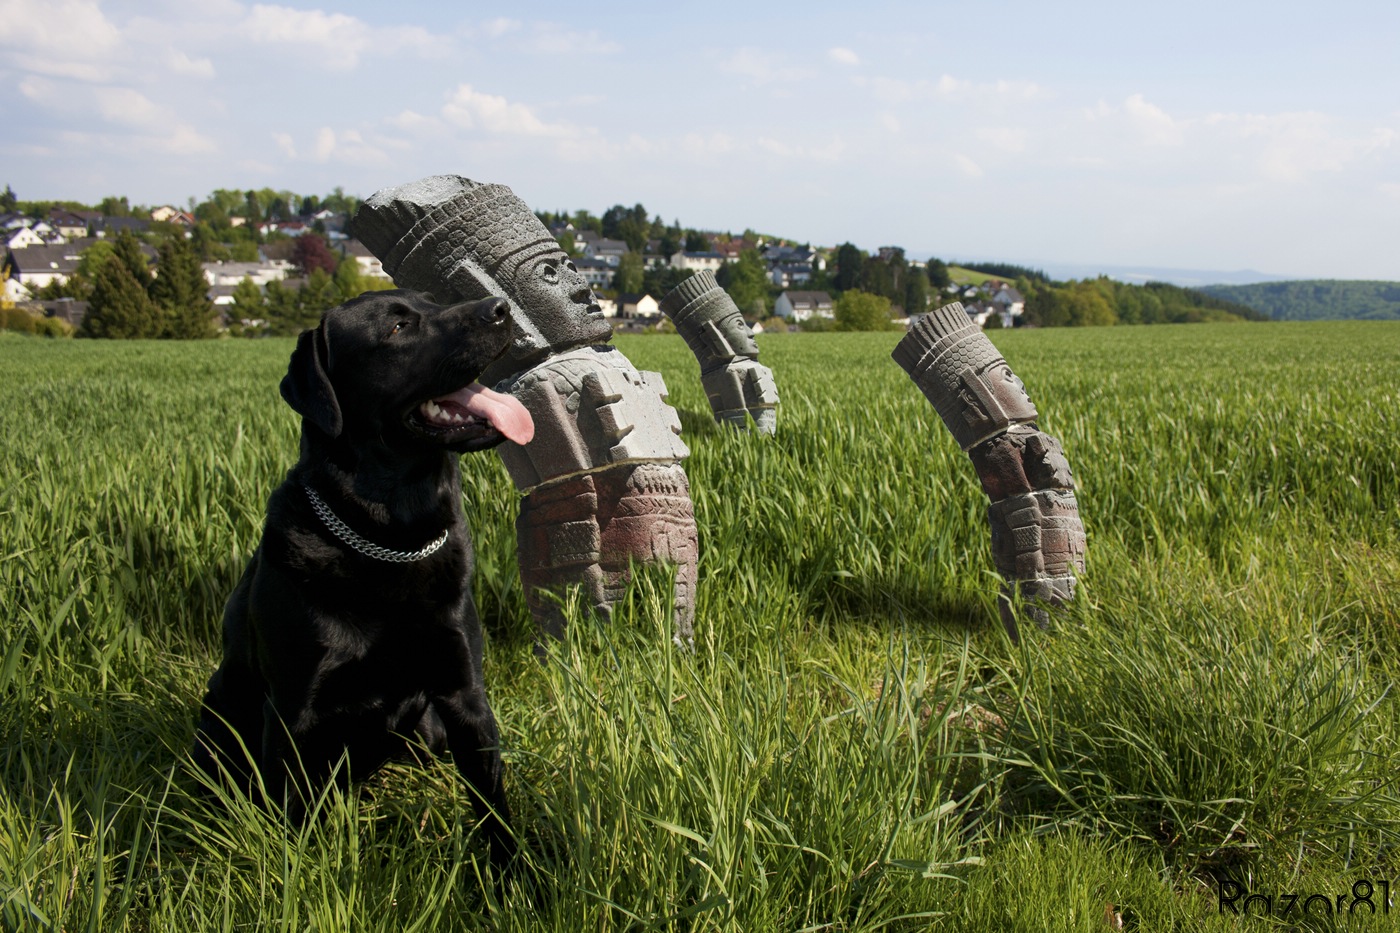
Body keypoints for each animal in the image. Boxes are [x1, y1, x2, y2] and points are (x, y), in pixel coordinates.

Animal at [200, 287, 537, 868]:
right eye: (398, 329)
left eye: (432, 302)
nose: (501, 307)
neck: (391, 540)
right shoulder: (292, 716)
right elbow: (294, 823)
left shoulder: (464, 694)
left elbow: (494, 807)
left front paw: (516, 876)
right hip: (217, 706)